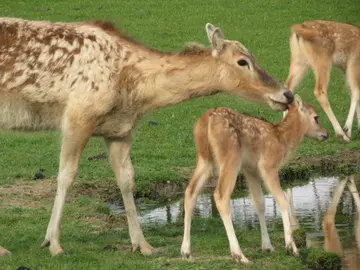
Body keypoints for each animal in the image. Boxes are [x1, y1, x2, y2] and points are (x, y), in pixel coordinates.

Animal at [0, 17, 292, 256]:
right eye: (243, 61)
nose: (286, 94)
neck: (135, 93)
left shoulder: (120, 130)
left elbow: (127, 179)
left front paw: (143, 245)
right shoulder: (78, 115)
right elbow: (66, 175)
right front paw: (53, 244)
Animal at [181, 95, 328, 264]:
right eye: (316, 117)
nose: (325, 134)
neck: (281, 141)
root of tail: (205, 122)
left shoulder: (250, 169)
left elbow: (259, 203)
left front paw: (268, 246)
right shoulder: (268, 165)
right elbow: (282, 200)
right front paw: (291, 248)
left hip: (205, 159)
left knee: (190, 191)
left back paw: (186, 251)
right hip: (230, 157)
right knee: (220, 195)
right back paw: (239, 255)